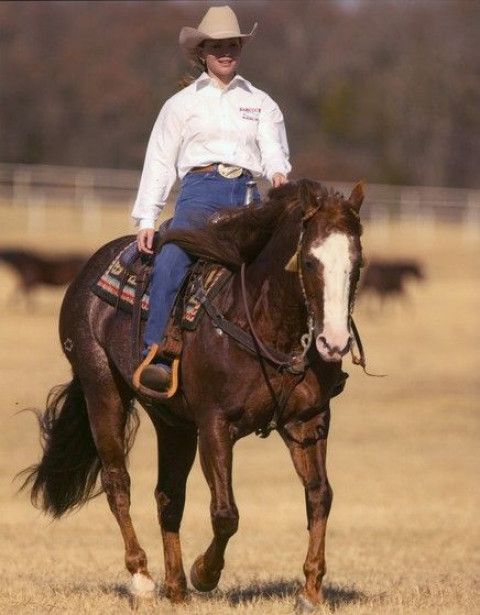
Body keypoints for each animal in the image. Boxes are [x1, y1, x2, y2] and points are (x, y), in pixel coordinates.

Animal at [18, 178, 364, 612]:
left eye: (357, 263)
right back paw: (143, 579)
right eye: (311, 262)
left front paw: (312, 591)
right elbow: (225, 512)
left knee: (169, 497)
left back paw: (176, 587)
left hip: (173, 423)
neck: (263, 323)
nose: (333, 343)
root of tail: (91, 271)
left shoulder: (308, 423)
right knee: (118, 484)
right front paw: (206, 573)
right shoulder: (215, 425)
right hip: (103, 391)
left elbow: (319, 496)